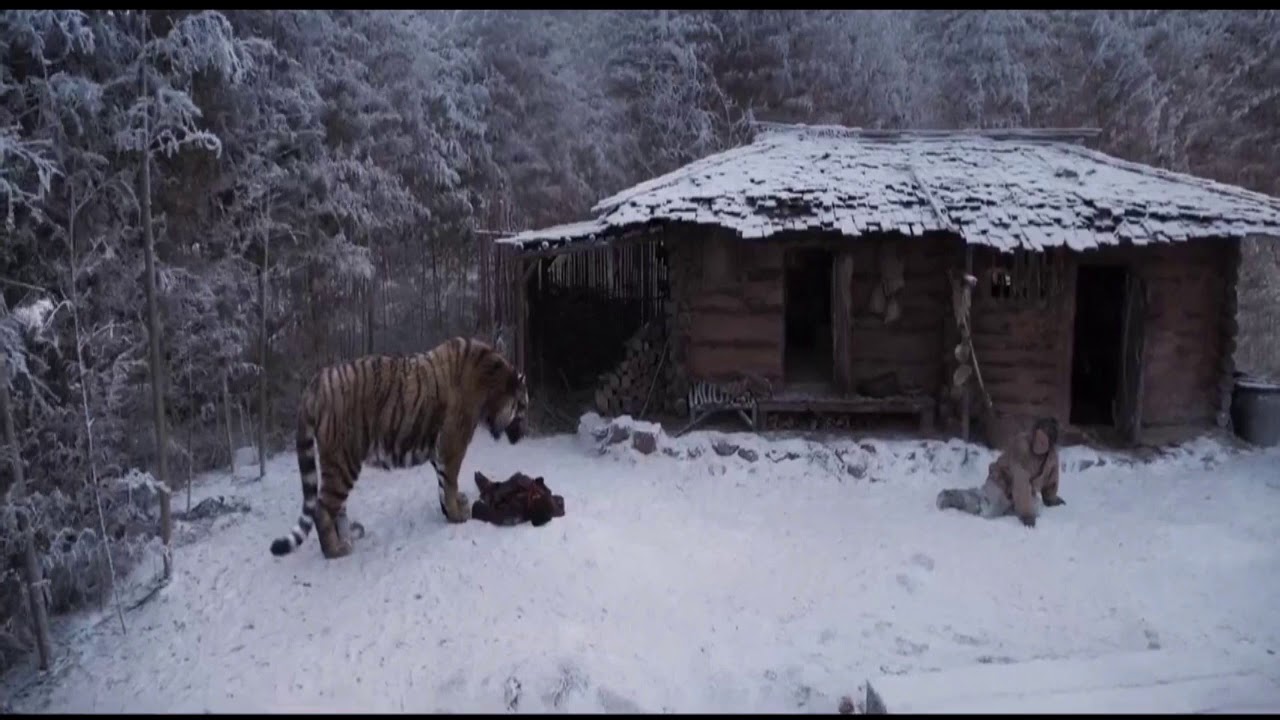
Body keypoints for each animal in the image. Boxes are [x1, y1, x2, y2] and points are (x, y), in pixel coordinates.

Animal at [268, 337, 530, 560]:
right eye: (523, 406)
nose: (525, 433)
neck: (491, 384)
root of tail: (316, 382)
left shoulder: (439, 449)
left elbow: (442, 483)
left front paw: (450, 510)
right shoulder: (453, 443)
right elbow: (450, 481)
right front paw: (457, 514)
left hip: (338, 464)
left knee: (337, 506)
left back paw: (349, 536)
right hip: (343, 460)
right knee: (323, 507)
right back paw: (336, 549)